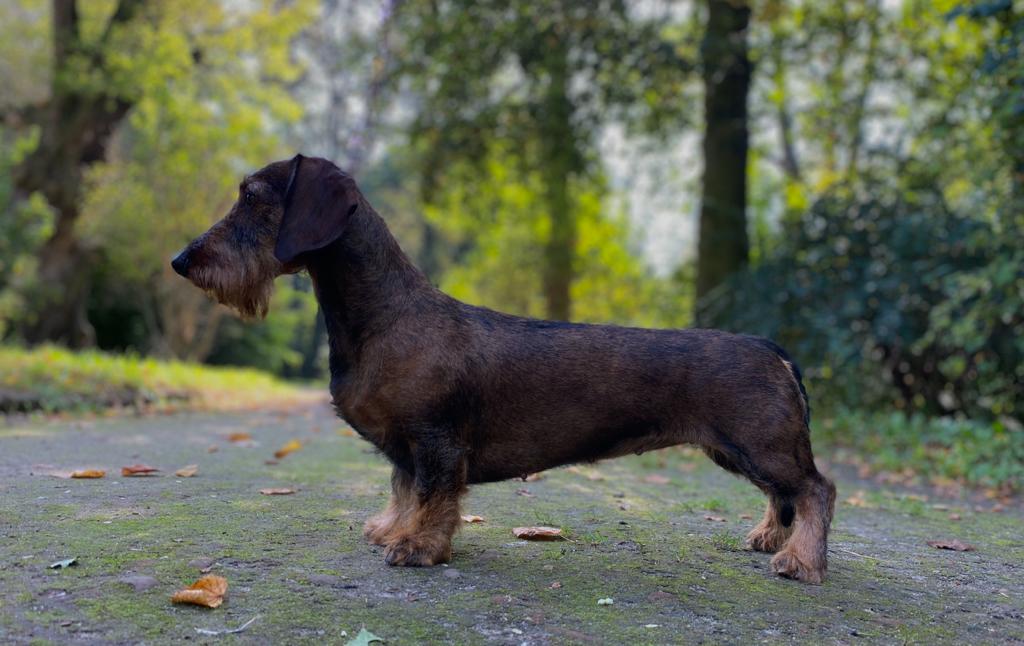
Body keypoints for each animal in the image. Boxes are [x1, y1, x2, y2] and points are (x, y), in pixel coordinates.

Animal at [172, 154, 835, 585]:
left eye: (253, 198)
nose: (181, 261)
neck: (385, 315)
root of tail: (769, 347)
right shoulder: (407, 447)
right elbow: (403, 489)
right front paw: (392, 529)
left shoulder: (435, 441)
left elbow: (434, 497)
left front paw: (418, 547)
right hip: (739, 449)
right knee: (784, 494)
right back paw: (769, 538)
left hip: (759, 443)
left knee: (813, 490)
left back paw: (800, 561)